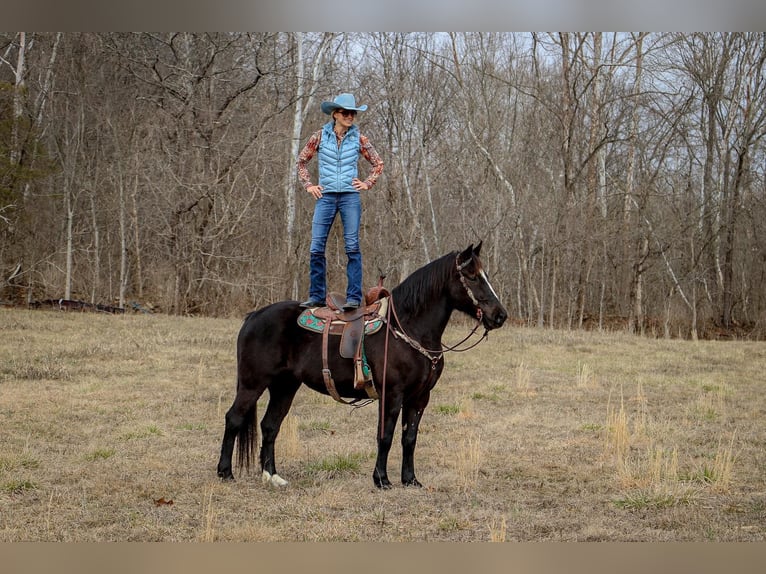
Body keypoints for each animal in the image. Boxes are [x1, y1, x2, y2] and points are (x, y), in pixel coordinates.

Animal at [216, 243, 510, 490]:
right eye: (472, 277)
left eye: (484, 275)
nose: (500, 316)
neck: (408, 327)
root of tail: (254, 315)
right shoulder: (392, 394)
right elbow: (386, 436)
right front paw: (382, 480)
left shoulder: (419, 398)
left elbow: (409, 438)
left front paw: (410, 479)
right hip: (253, 384)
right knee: (234, 418)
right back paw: (225, 472)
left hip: (285, 386)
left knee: (270, 426)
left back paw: (273, 476)